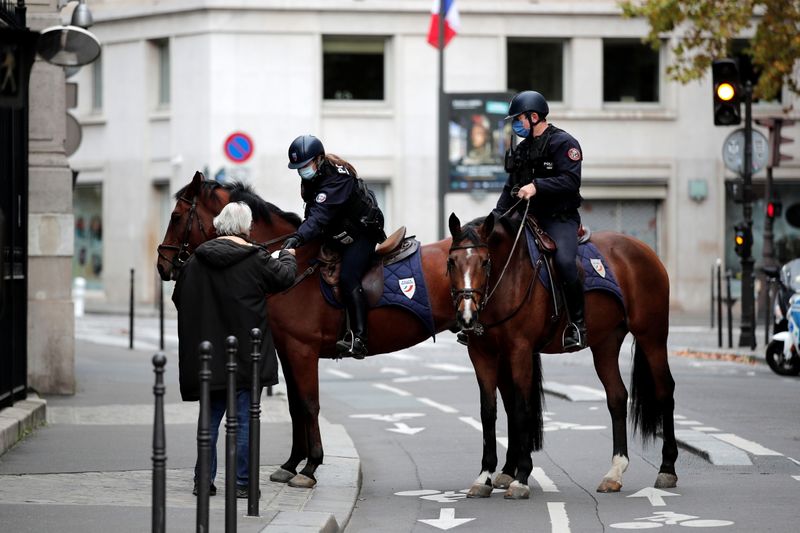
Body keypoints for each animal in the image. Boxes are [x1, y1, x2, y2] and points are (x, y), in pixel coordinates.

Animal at [156, 172, 456, 488]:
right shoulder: (287, 351)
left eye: (175, 216)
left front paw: (311, 466)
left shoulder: (303, 351)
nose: (162, 264)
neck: (295, 266)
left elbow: (310, 404)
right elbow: (295, 406)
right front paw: (291, 463)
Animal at [446, 211, 680, 498]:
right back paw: (615, 472)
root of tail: (645, 249)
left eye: (485, 261)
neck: (509, 277)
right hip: (606, 343)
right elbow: (489, 412)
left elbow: (522, 409)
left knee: (664, 390)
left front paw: (521, 477)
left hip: (652, 335)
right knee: (617, 396)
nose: (466, 315)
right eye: (451, 262)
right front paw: (485, 476)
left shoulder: (520, 350)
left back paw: (667, 468)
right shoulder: (482, 354)